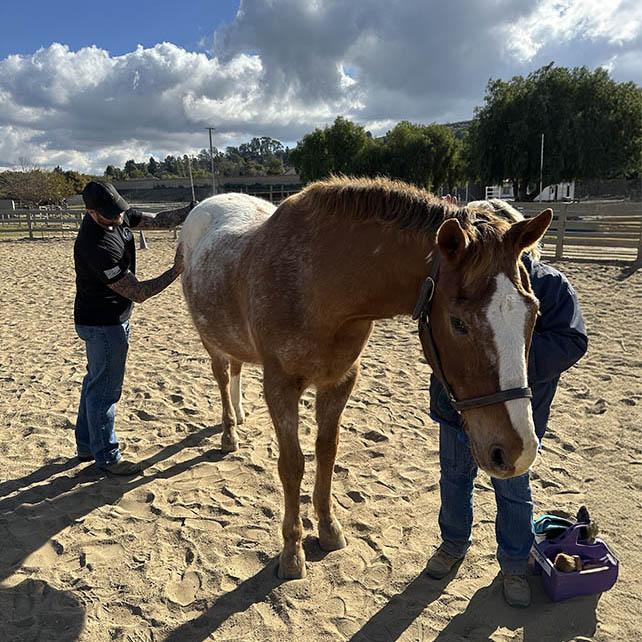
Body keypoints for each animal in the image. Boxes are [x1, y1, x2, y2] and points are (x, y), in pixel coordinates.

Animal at [179, 177, 552, 579]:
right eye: (458, 323)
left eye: (534, 312)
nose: (518, 452)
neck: (315, 282)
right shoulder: (280, 386)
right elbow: (292, 465)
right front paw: (292, 552)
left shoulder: (340, 381)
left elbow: (326, 452)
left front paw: (328, 529)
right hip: (211, 340)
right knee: (222, 376)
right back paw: (229, 432)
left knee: (235, 370)